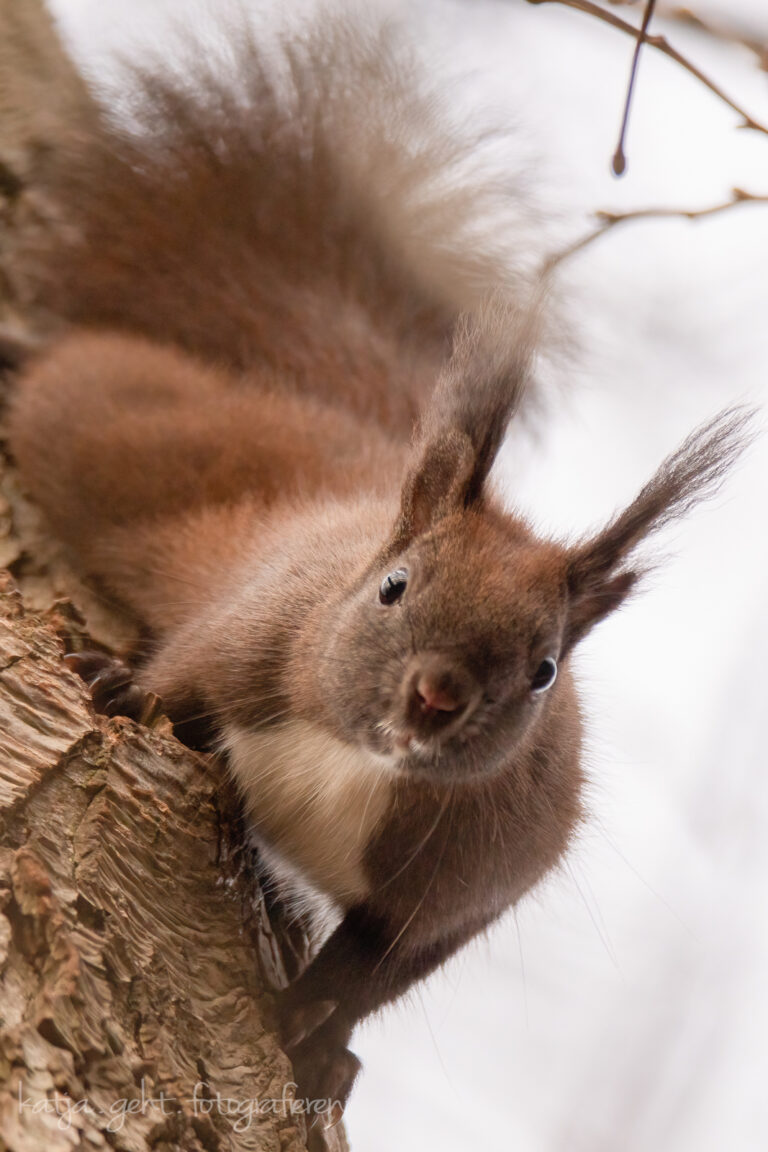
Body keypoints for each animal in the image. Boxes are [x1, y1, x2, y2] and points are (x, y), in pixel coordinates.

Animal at [4, 6, 750, 1115]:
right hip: (121, 435)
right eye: (394, 588)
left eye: (545, 670)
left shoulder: (468, 883)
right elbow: (181, 675)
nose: (438, 695)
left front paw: (315, 1041)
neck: (355, 759)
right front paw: (118, 687)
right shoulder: (254, 626)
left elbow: (372, 974)